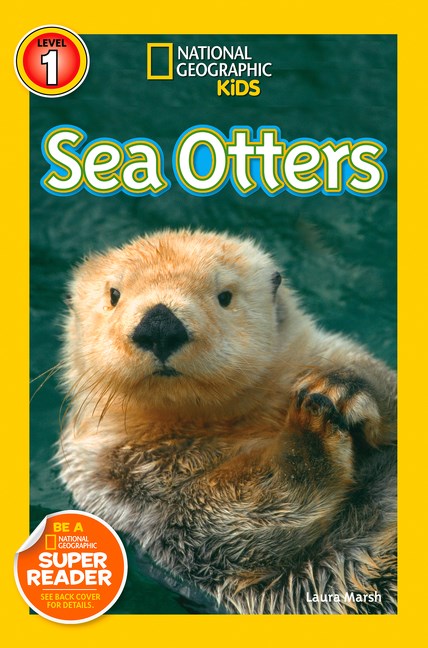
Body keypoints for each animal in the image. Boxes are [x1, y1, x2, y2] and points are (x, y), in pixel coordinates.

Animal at [57, 229, 396, 614]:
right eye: (114, 295)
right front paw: (310, 426)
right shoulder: (122, 483)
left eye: (225, 296)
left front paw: (341, 387)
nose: (159, 325)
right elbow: (236, 513)